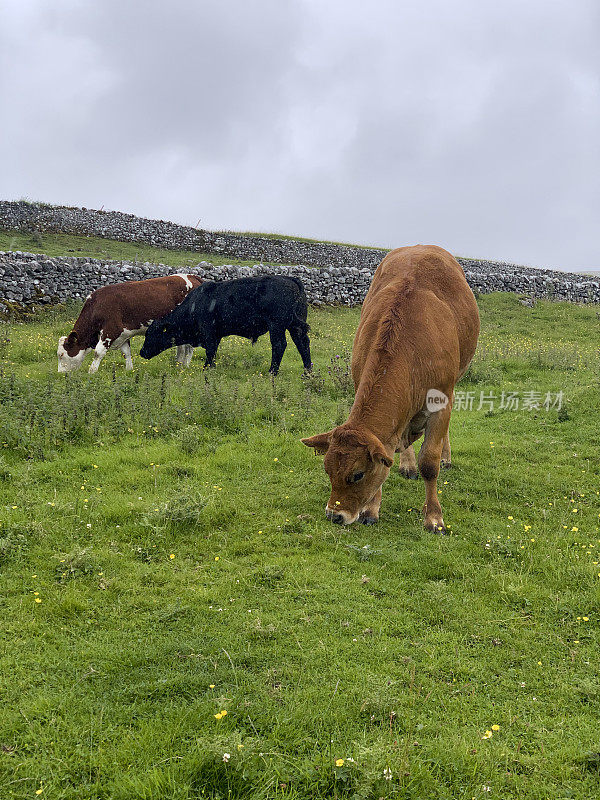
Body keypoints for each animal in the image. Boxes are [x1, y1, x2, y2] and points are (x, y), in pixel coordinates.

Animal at [56, 274, 202, 374]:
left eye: (61, 355)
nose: (61, 374)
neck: (97, 306)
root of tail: (192, 276)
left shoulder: (111, 330)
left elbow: (98, 352)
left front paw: (91, 372)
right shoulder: (123, 334)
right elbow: (126, 352)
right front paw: (129, 369)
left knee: (190, 347)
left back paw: (185, 366)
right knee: (182, 346)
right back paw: (178, 364)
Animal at [138, 276, 312, 376]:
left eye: (150, 334)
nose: (141, 352)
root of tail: (290, 279)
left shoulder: (208, 331)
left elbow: (210, 351)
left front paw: (206, 369)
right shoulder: (217, 334)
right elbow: (213, 351)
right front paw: (210, 367)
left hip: (277, 325)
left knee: (279, 345)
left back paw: (272, 372)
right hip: (295, 327)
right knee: (302, 344)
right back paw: (307, 372)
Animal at [302, 244, 480, 532]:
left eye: (357, 474)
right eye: (327, 470)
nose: (334, 515)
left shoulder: (442, 400)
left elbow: (429, 463)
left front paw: (433, 517)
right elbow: (386, 454)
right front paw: (372, 509)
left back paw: (445, 457)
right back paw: (407, 464)